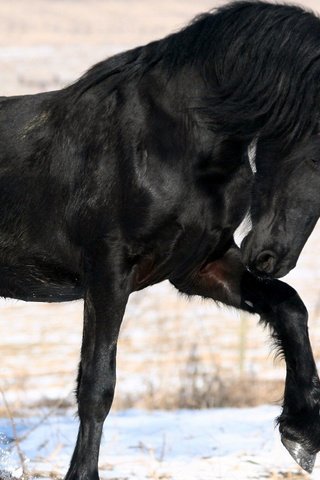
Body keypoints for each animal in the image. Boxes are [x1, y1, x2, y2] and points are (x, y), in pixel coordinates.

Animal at [1, 1, 320, 478]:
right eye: (317, 153)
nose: (268, 256)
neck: (172, 140)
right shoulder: (108, 271)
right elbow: (97, 384)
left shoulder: (198, 266)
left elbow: (289, 307)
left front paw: (301, 433)